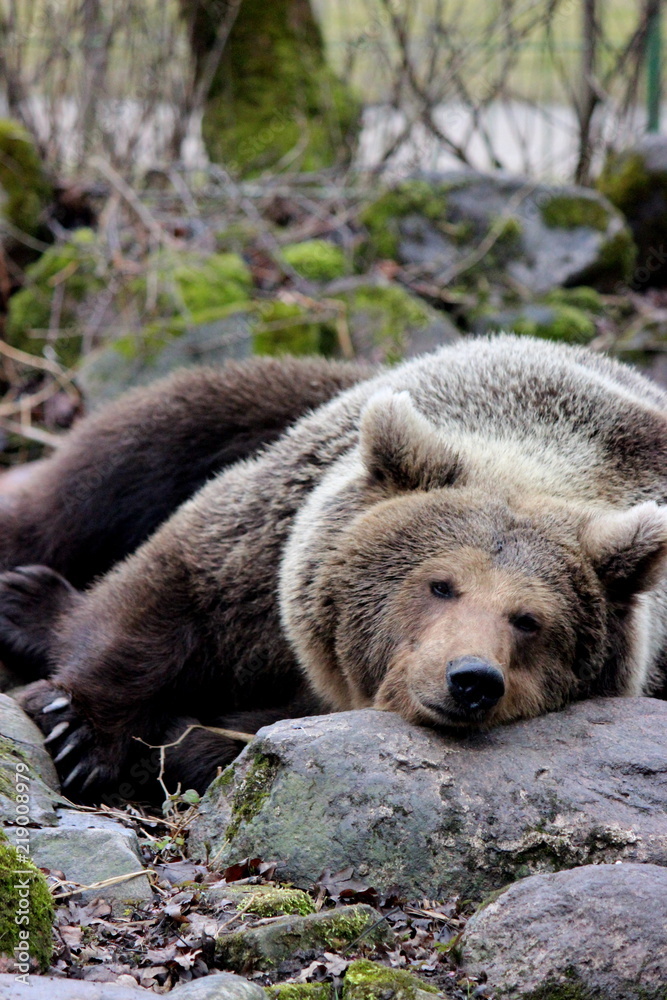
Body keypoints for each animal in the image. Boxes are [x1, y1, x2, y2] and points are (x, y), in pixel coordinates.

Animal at [2, 334, 667, 804]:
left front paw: (174, 737)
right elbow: (177, 587)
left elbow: (235, 743)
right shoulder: (276, 535)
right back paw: (25, 595)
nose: (472, 679)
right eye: (441, 584)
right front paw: (76, 727)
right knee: (126, 453)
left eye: (530, 620)